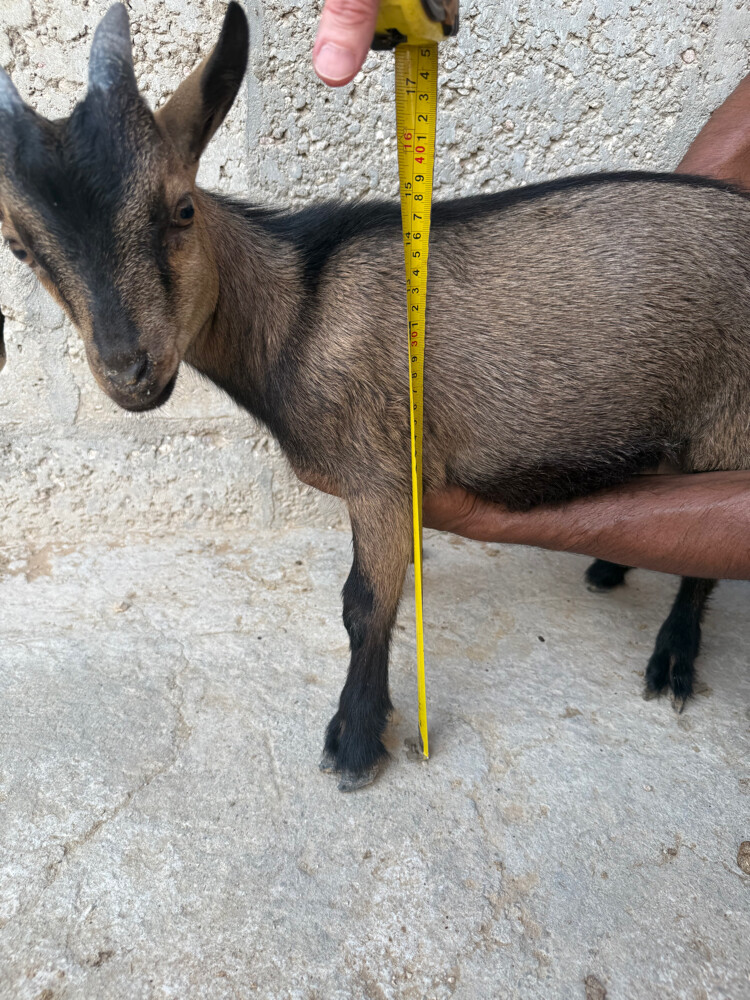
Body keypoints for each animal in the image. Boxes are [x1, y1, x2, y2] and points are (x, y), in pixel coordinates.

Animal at [1, 3, 748, 790]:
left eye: (181, 210)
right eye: (19, 248)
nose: (130, 372)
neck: (296, 313)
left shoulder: (381, 475)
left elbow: (363, 605)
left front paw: (355, 740)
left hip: (728, 419)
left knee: (704, 551)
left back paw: (673, 657)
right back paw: (611, 566)